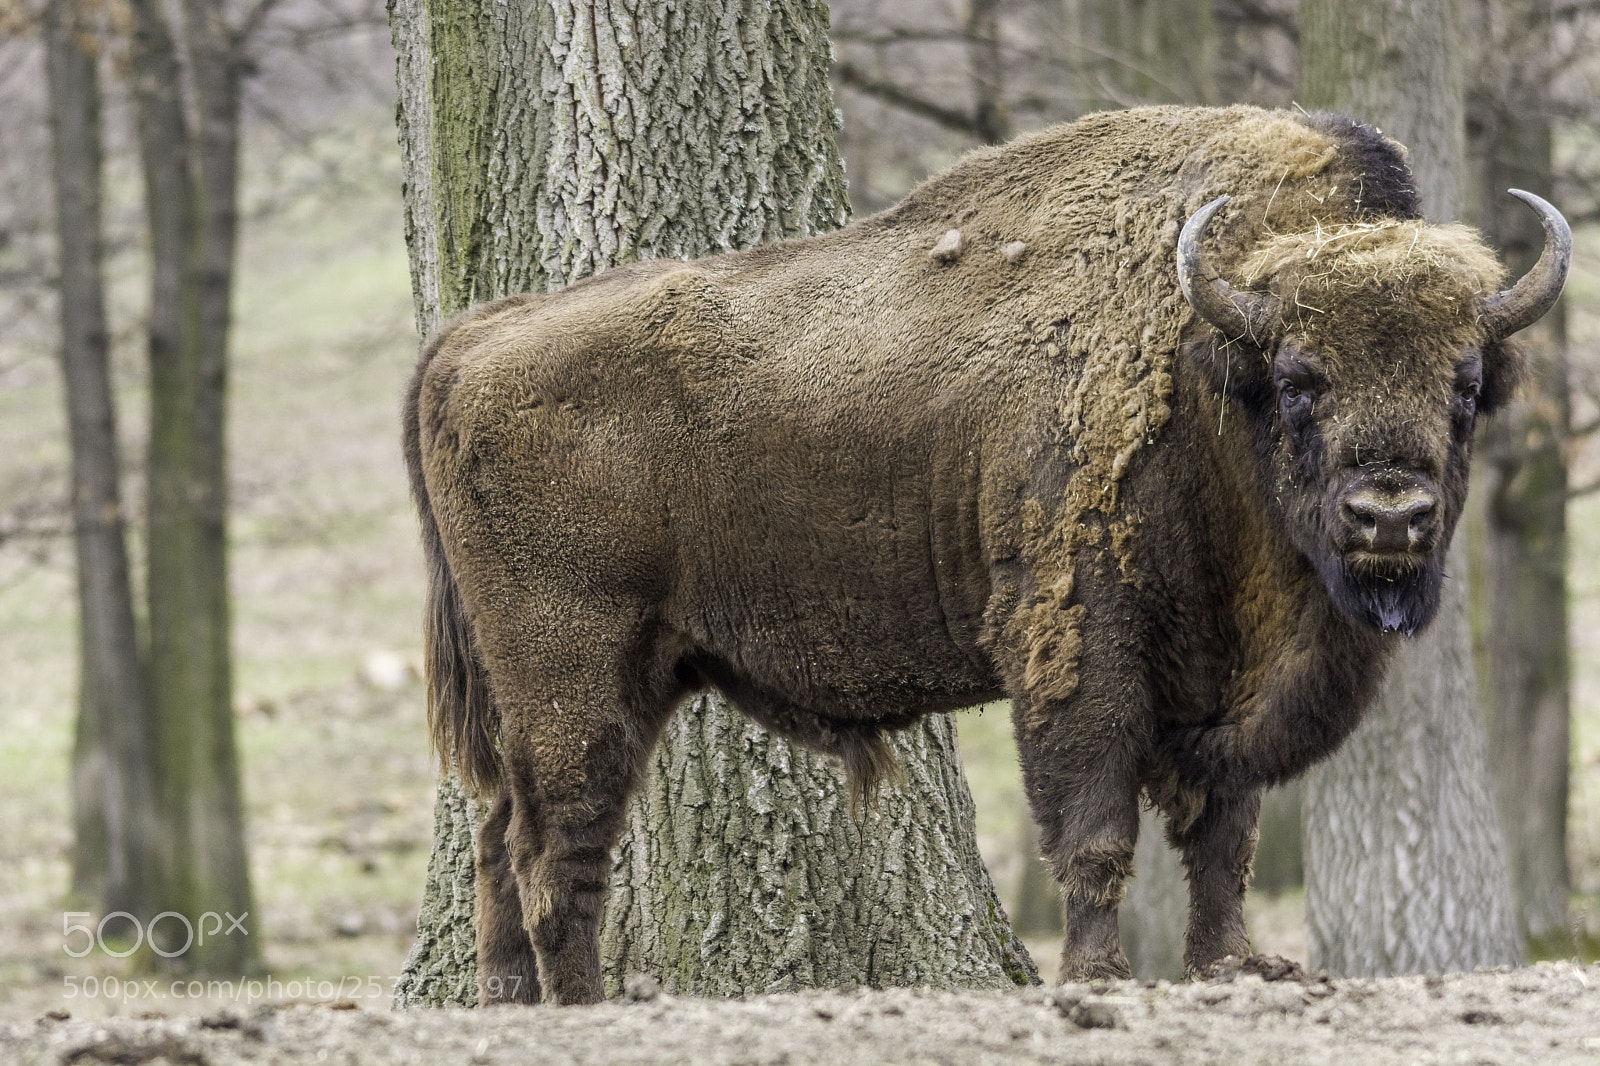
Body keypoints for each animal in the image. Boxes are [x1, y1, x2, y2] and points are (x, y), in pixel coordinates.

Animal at [404, 105, 1568, 1004]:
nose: (1389, 516)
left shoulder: (1219, 681)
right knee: (554, 847)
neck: (1206, 366)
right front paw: (1098, 977)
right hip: (574, 676)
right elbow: (1095, 823)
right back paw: (577, 1004)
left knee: (498, 835)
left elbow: (1221, 835)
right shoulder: (1080, 644)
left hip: (583, 687)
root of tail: (471, 339)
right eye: (1298, 378)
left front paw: (1235, 965)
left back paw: (504, 1001)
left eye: (1466, 385)